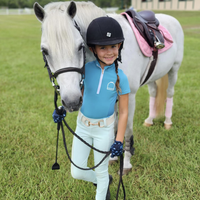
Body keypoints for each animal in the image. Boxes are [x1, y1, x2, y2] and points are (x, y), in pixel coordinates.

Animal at [33, 1, 184, 173]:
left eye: (80, 46)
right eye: (45, 51)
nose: (72, 102)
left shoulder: (129, 97)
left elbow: (126, 129)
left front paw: (126, 163)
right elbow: (114, 127)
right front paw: (112, 157)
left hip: (174, 70)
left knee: (170, 93)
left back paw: (167, 122)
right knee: (153, 93)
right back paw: (150, 120)